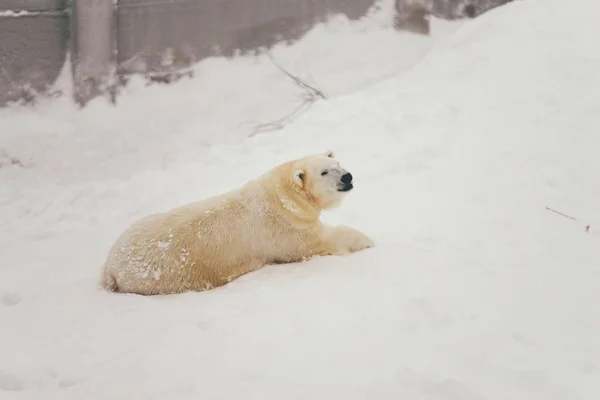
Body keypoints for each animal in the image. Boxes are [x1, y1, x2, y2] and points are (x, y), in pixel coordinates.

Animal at [102, 152, 376, 296]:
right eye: (324, 172)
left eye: (337, 164)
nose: (347, 176)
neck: (281, 197)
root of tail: (110, 267)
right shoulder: (285, 230)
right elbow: (321, 240)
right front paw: (366, 239)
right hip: (163, 277)